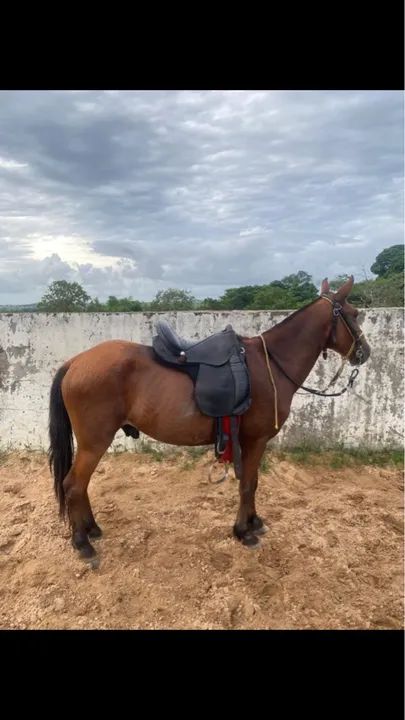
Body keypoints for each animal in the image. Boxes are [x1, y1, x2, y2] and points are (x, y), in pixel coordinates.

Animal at [48, 275, 370, 561]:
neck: (271, 364)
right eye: (355, 314)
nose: (365, 352)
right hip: (94, 442)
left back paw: (92, 529)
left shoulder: (251, 442)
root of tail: (75, 362)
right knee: (73, 485)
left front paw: (253, 522)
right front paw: (243, 531)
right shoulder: (255, 440)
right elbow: (248, 484)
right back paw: (83, 544)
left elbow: (253, 481)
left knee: (80, 485)